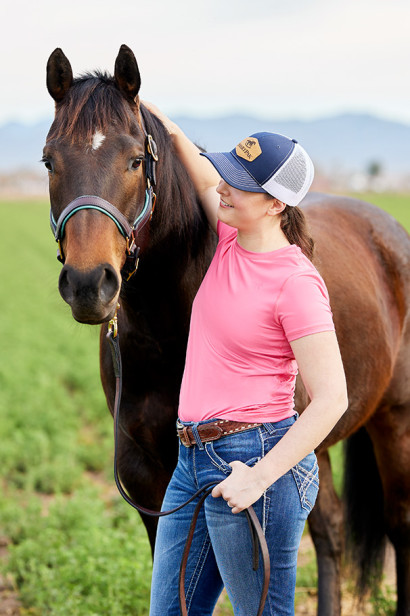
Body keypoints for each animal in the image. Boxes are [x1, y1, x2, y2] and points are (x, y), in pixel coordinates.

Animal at [44, 44, 410, 616]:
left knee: (398, 526)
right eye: (49, 161)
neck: (167, 332)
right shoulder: (151, 484)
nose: (88, 284)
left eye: (134, 159)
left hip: (395, 421)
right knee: (329, 529)